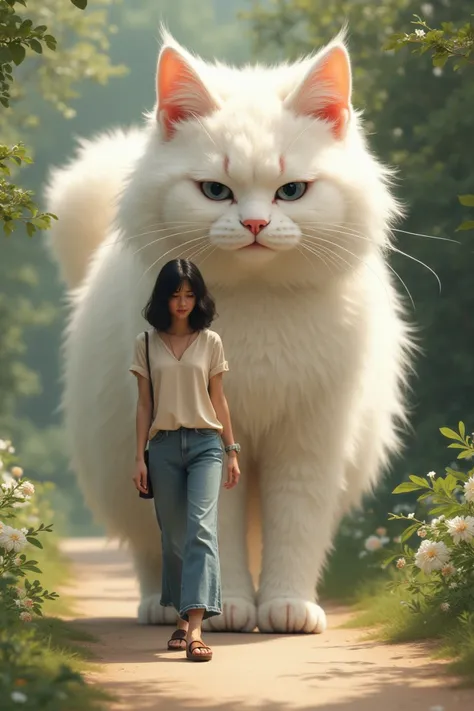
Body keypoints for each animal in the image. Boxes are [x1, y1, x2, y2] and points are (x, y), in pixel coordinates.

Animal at [46, 32, 412, 636]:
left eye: (292, 190)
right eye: (216, 190)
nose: (256, 225)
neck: (257, 302)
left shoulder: (311, 438)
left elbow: (296, 525)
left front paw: (287, 608)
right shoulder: (211, 436)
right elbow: (213, 528)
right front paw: (227, 610)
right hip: (124, 470)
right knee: (150, 548)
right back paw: (163, 606)